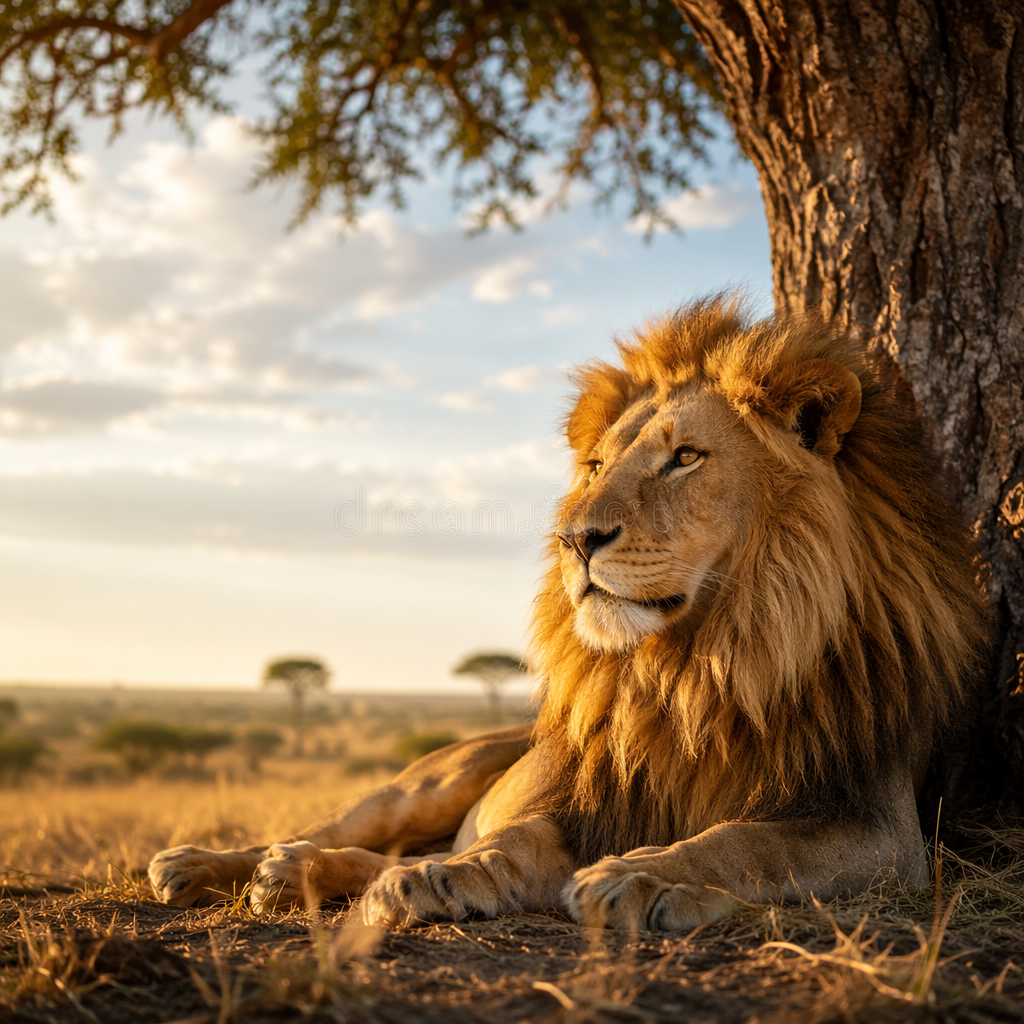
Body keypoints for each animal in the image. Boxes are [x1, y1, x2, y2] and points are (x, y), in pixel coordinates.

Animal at [149, 299, 988, 931]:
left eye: (685, 458)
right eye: (595, 466)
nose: (574, 539)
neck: (702, 662)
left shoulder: (877, 825)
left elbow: (748, 843)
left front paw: (647, 880)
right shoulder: (592, 799)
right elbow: (517, 838)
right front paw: (460, 876)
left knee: (377, 853)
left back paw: (301, 874)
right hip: (430, 782)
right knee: (343, 827)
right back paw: (217, 864)